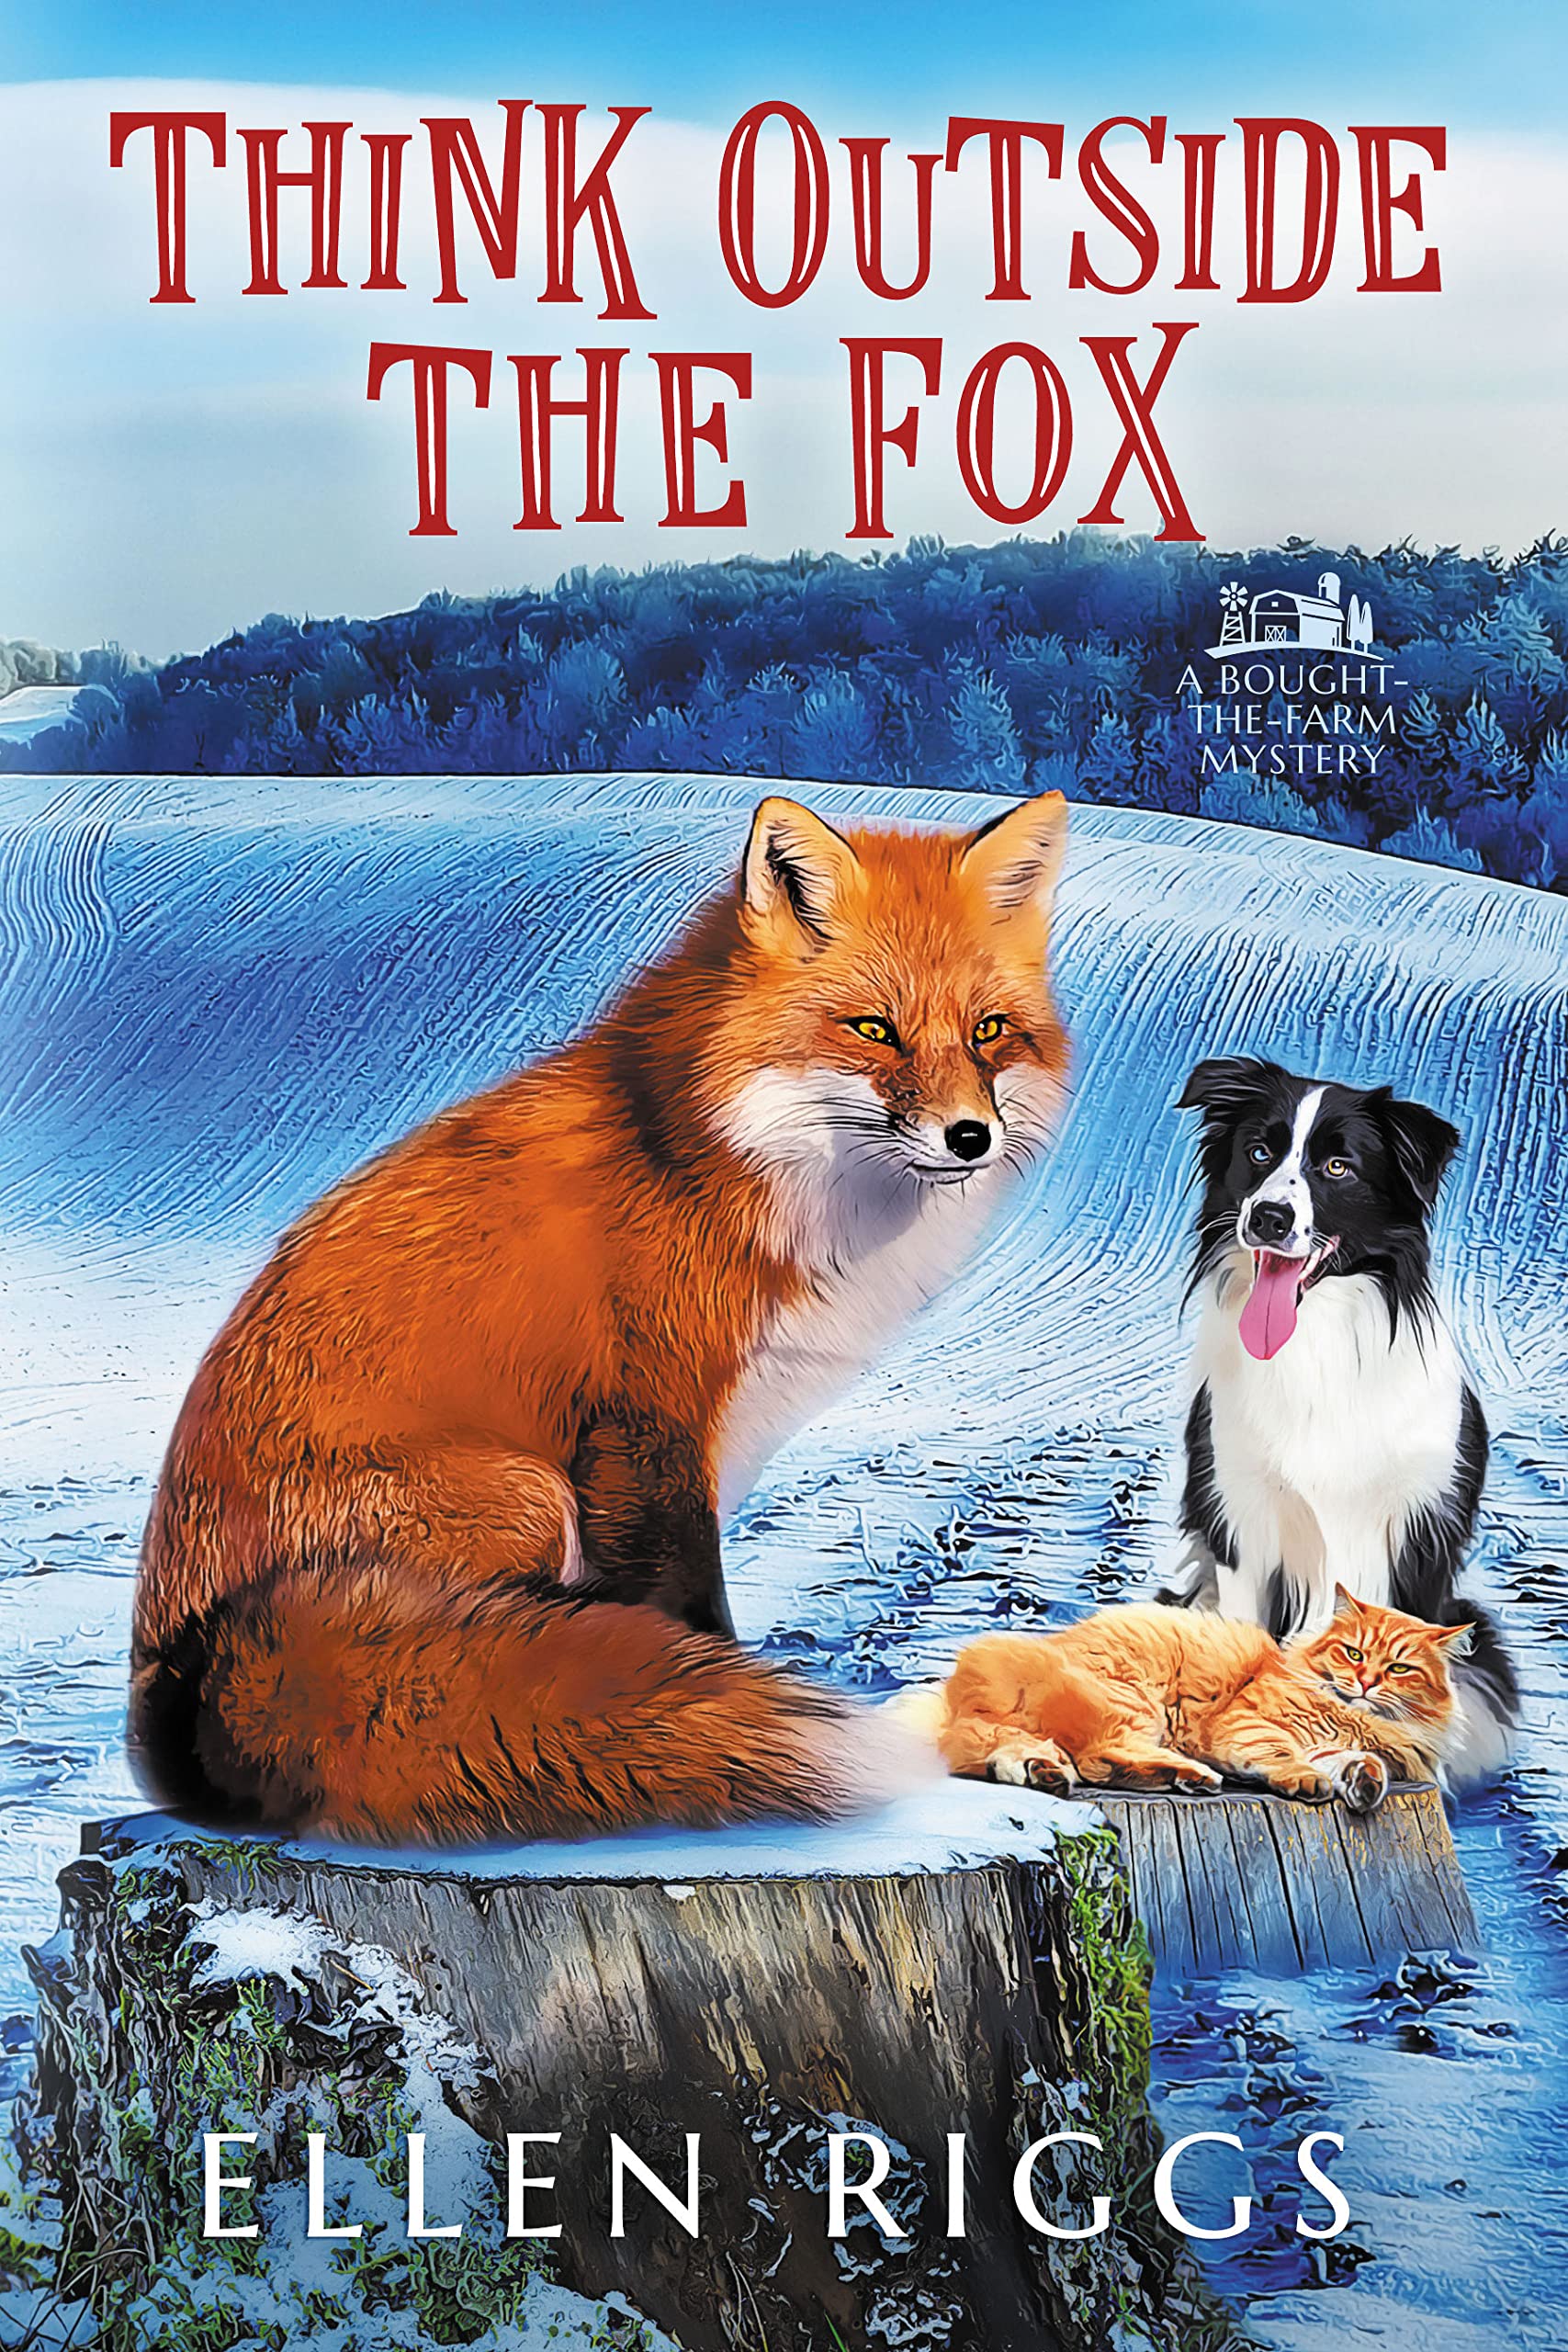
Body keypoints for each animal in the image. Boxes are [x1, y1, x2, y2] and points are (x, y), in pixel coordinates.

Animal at [131, 789, 1071, 1846]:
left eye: (989, 1029)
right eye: (873, 1028)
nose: (970, 1136)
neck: (721, 1159)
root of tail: (178, 1695)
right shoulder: (648, 1424)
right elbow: (688, 1613)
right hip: (527, 1493)